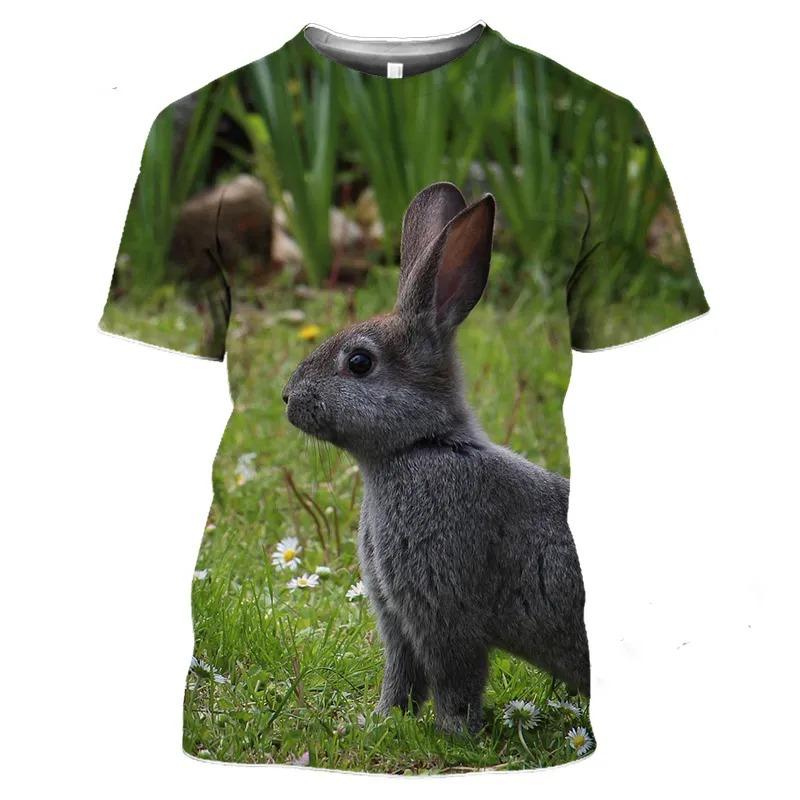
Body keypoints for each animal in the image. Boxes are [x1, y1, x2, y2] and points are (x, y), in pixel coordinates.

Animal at [283, 181, 590, 734]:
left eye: (359, 362)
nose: (287, 398)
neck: (421, 445)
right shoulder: (395, 615)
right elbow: (400, 674)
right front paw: (379, 720)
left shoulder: (442, 608)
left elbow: (454, 678)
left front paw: (454, 734)